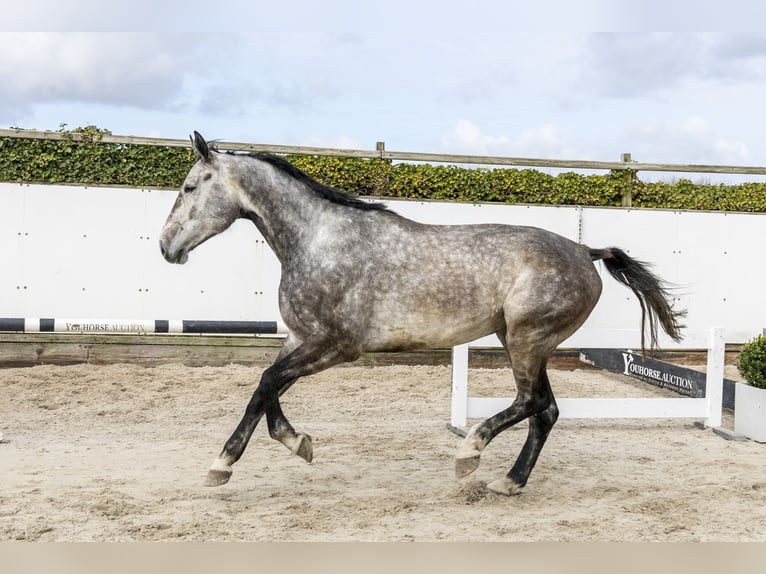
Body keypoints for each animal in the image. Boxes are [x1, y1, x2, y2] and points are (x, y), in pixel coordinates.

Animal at [159, 132, 684, 496]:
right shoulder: (298, 338)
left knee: (533, 403)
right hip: (521, 341)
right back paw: (508, 482)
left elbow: (266, 384)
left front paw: (222, 465)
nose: (166, 247)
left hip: (525, 340)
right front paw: (297, 444)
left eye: (189, 186)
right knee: (546, 410)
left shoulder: (335, 347)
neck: (318, 241)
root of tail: (585, 251)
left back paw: (470, 452)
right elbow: (267, 393)